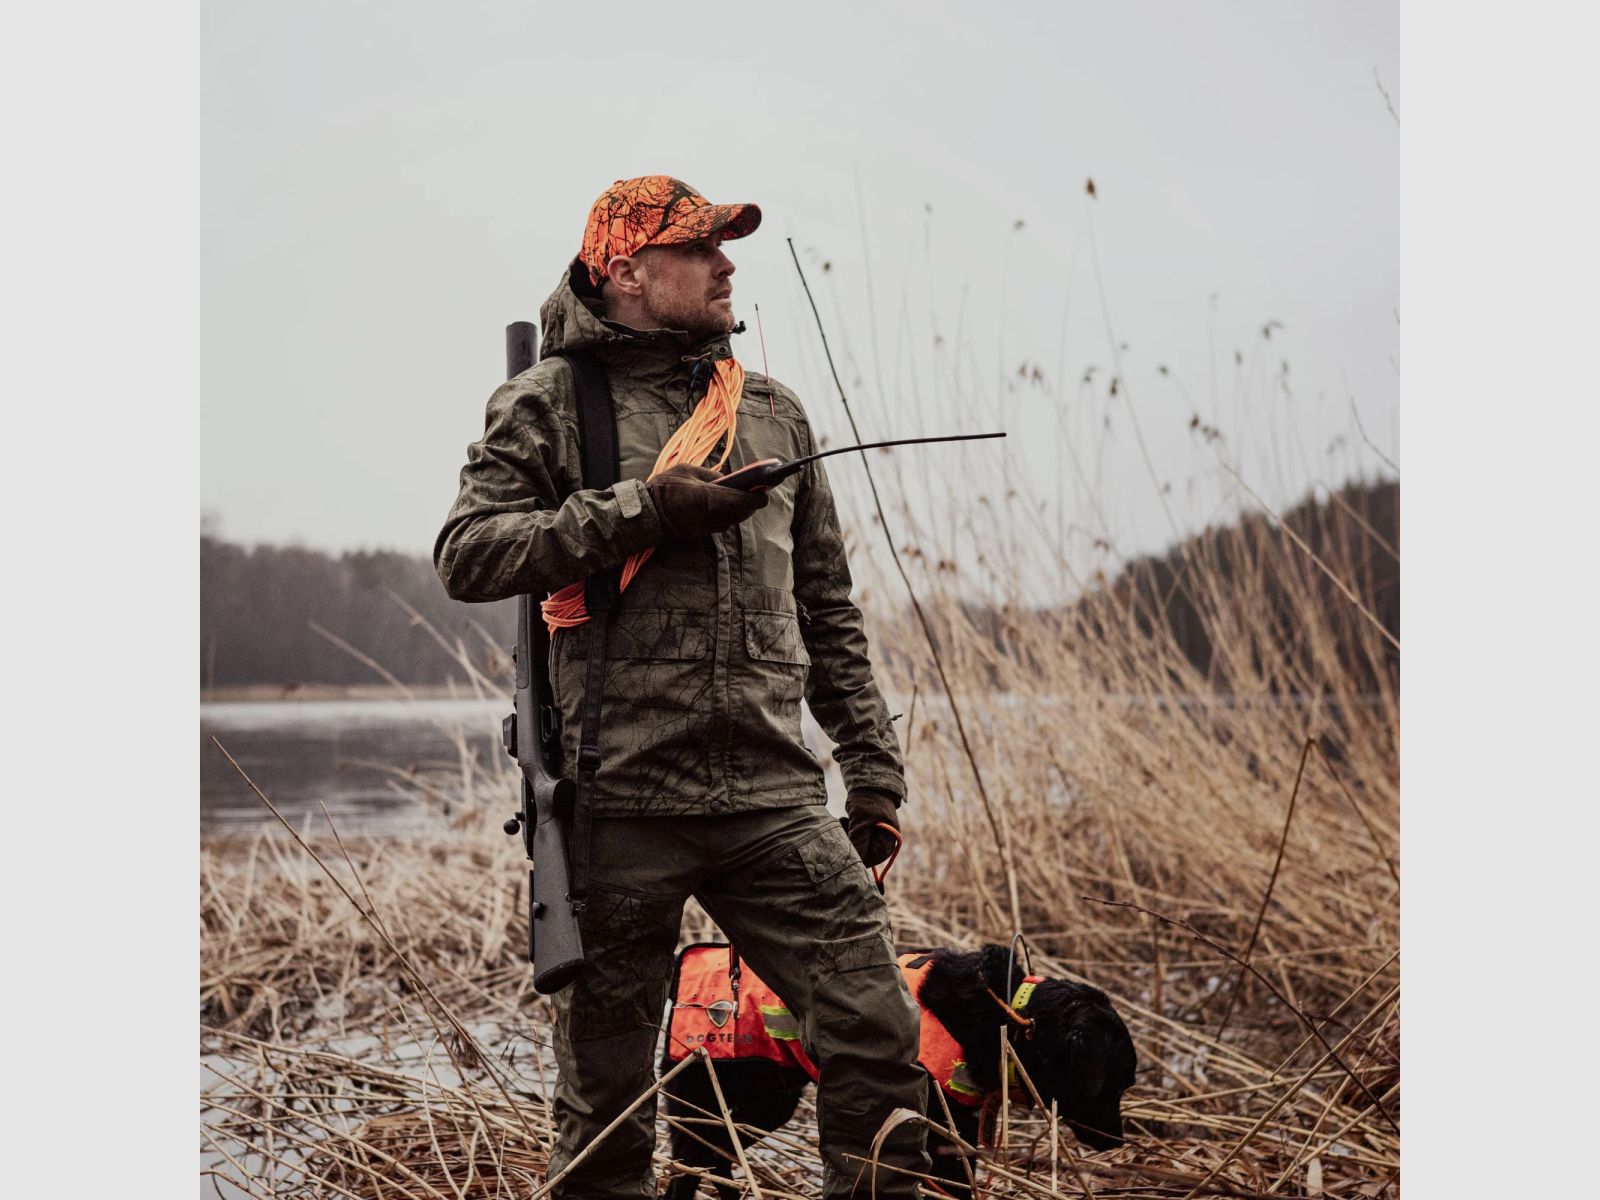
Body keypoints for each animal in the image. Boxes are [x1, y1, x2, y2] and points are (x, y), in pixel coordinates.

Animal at [662, 947, 1139, 1200]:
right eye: (1111, 1086)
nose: (1118, 1141)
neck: (1004, 1014)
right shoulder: (939, 1132)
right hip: (722, 1099)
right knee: (692, 1160)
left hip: (758, 1107)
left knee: (716, 1157)